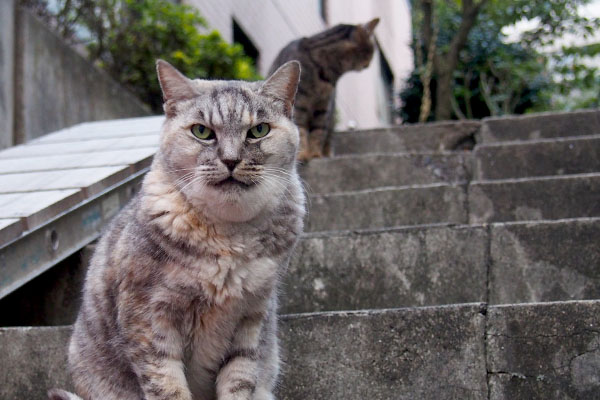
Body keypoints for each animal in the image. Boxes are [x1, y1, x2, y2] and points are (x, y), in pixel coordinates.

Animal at [48, 59, 304, 400]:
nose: (231, 160)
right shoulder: (148, 318)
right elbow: (167, 386)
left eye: (258, 131)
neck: (229, 236)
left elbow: (239, 381)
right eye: (202, 131)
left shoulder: (251, 317)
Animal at [268, 17, 378, 161]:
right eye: (371, 51)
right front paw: (303, 154)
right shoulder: (299, 105)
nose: (369, 64)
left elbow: (318, 132)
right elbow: (301, 130)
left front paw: (316, 154)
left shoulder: (324, 106)